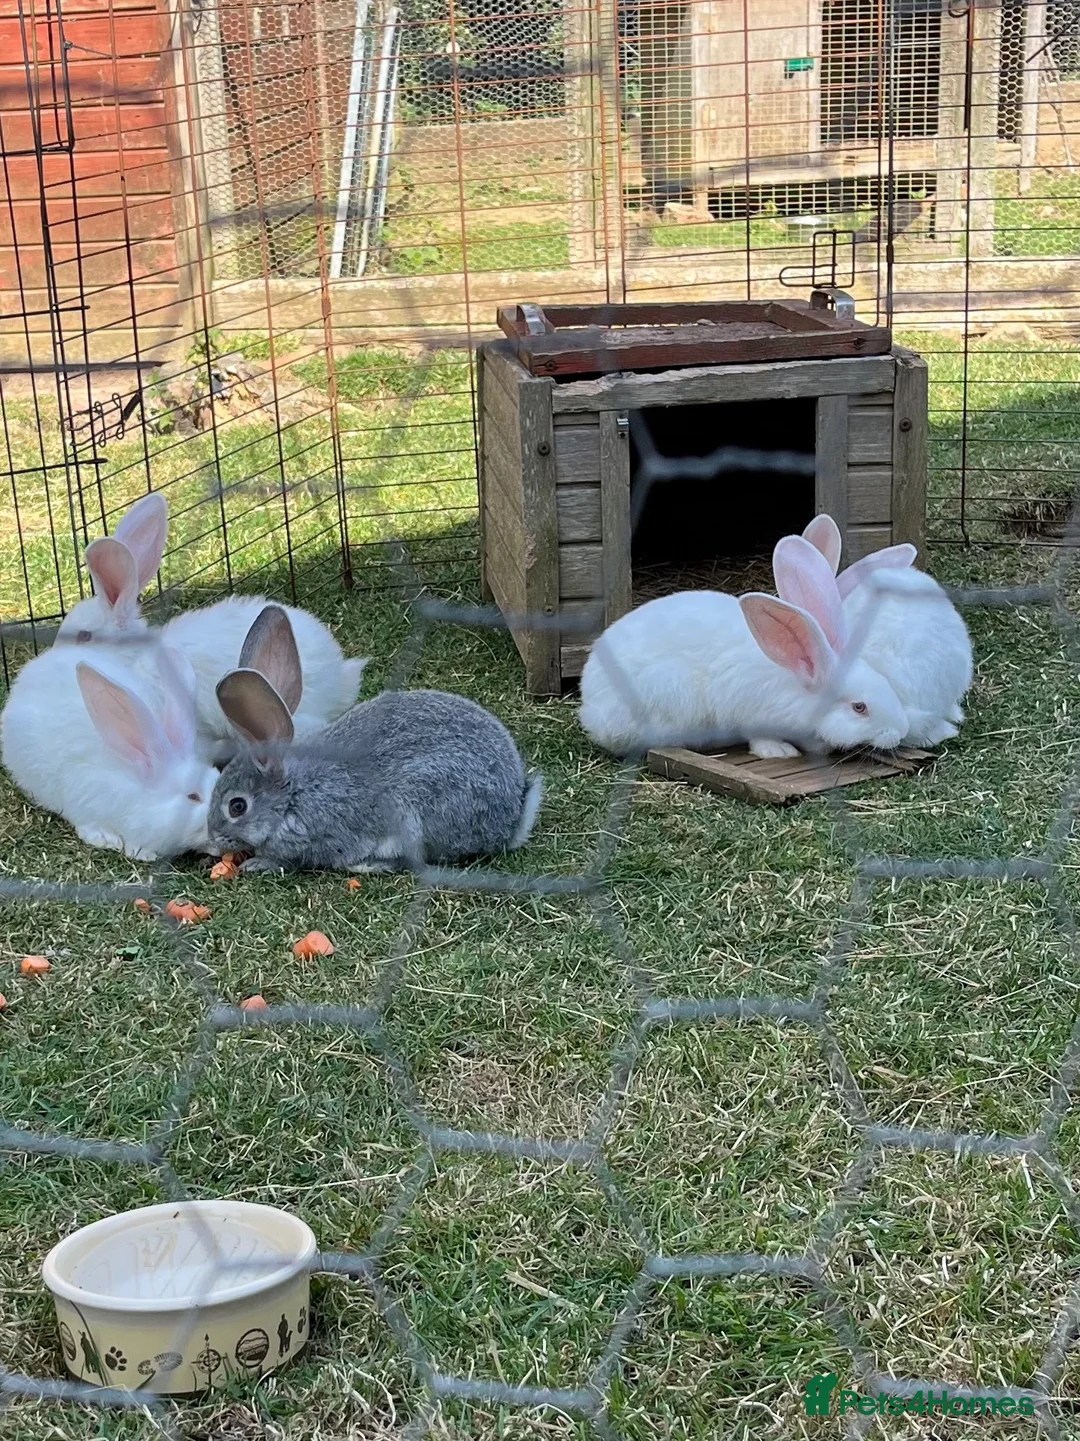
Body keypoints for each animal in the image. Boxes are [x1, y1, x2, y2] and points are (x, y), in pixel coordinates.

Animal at [207, 606, 543, 872]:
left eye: (237, 806)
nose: (212, 841)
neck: (293, 792)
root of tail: (509, 822)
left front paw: (258, 863)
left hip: (416, 809)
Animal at [577, 587, 909, 759]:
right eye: (859, 708)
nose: (900, 733)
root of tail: (589, 706)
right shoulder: (749, 711)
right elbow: (759, 738)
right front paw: (780, 751)